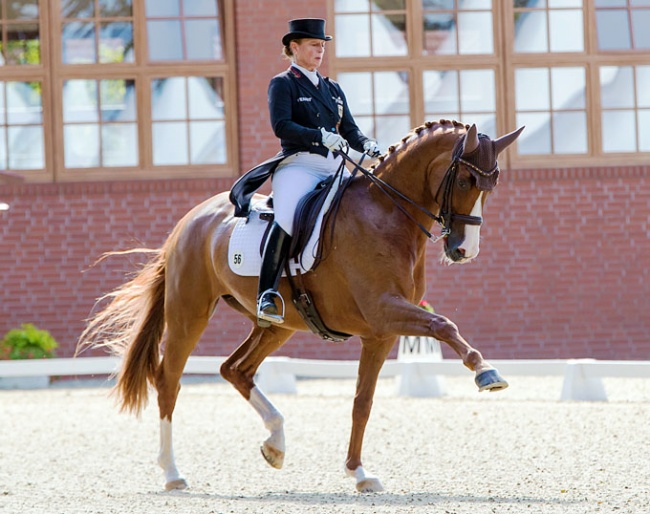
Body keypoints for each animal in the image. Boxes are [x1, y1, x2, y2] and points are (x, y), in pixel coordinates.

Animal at [78, 120, 520, 492]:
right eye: (463, 179)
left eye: (492, 185)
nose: (464, 251)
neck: (386, 215)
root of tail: (188, 222)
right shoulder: (384, 311)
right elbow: (444, 325)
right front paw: (487, 372)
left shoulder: (380, 333)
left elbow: (362, 403)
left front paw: (359, 473)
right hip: (189, 313)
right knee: (169, 381)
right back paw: (173, 473)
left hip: (278, 325)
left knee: (235, 369)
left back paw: (275, 444)